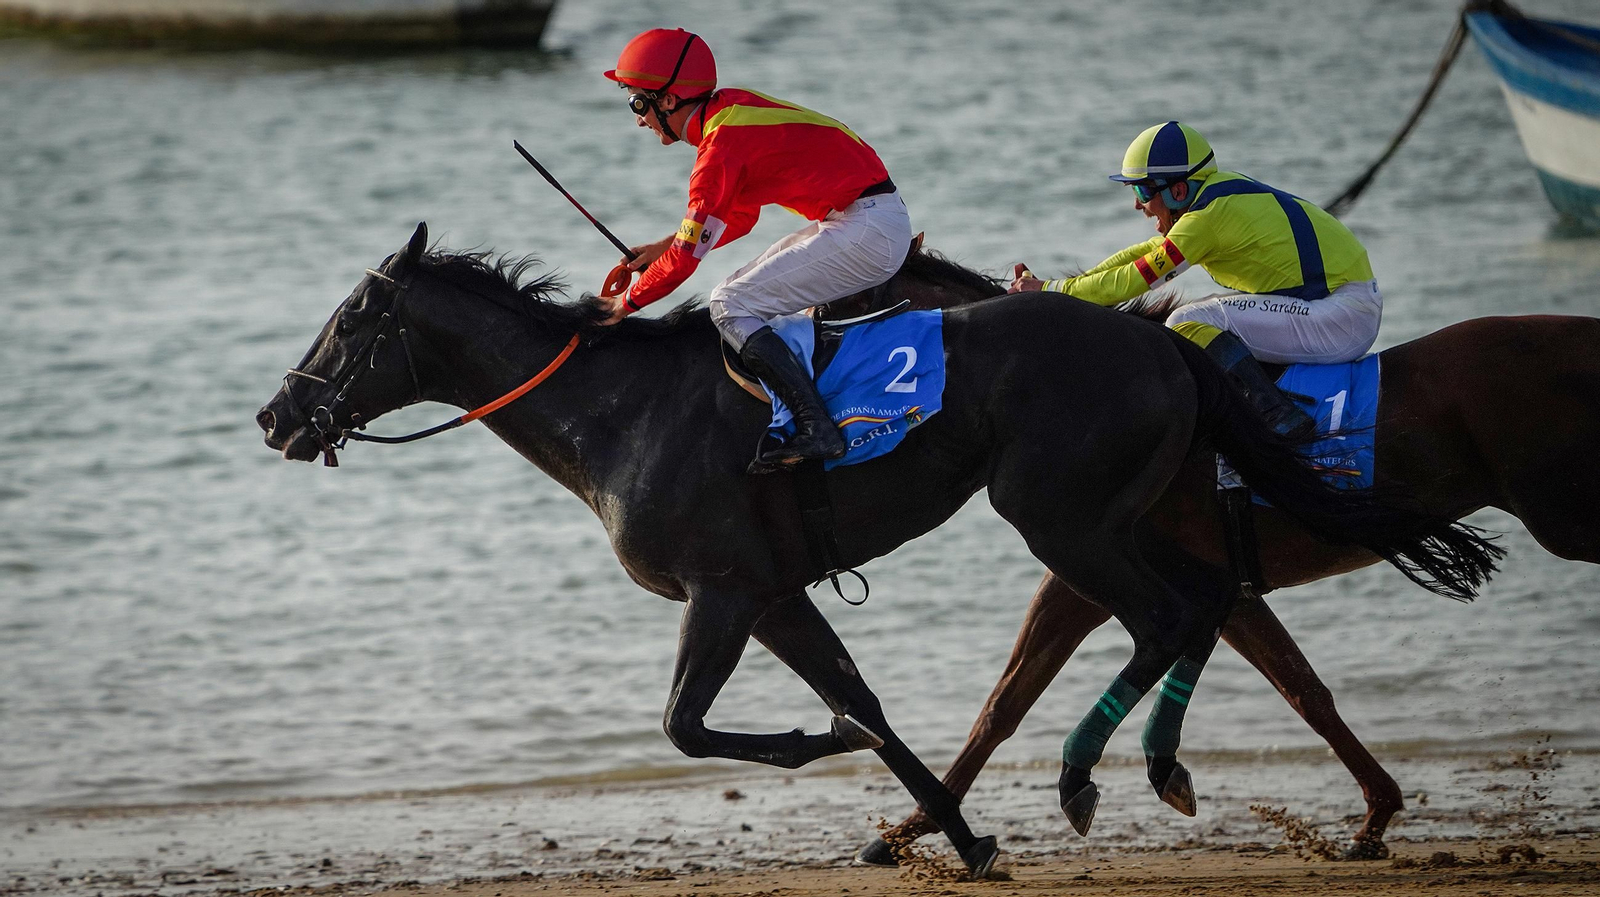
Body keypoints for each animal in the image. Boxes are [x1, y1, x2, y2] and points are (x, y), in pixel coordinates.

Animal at [256, 223, 1497, 876]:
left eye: (352, 321)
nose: (276, 415)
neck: (617, 414)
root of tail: (1166, 342)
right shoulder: (775, 595)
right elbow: (872, 706)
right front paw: (959, 837)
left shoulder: (722, 592)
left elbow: (690, 727)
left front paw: (826, 746)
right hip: (1112, 519)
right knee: (1200, 606)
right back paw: (1153, 766)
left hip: (1060, 518)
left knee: (1167, 615)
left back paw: (1093, 774)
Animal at [839, 252, 1600, 863]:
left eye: (837, 310)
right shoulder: (1193, 583)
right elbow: (1302, 690)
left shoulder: (1104, 571)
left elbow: (1006, 704)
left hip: (1564, 518)